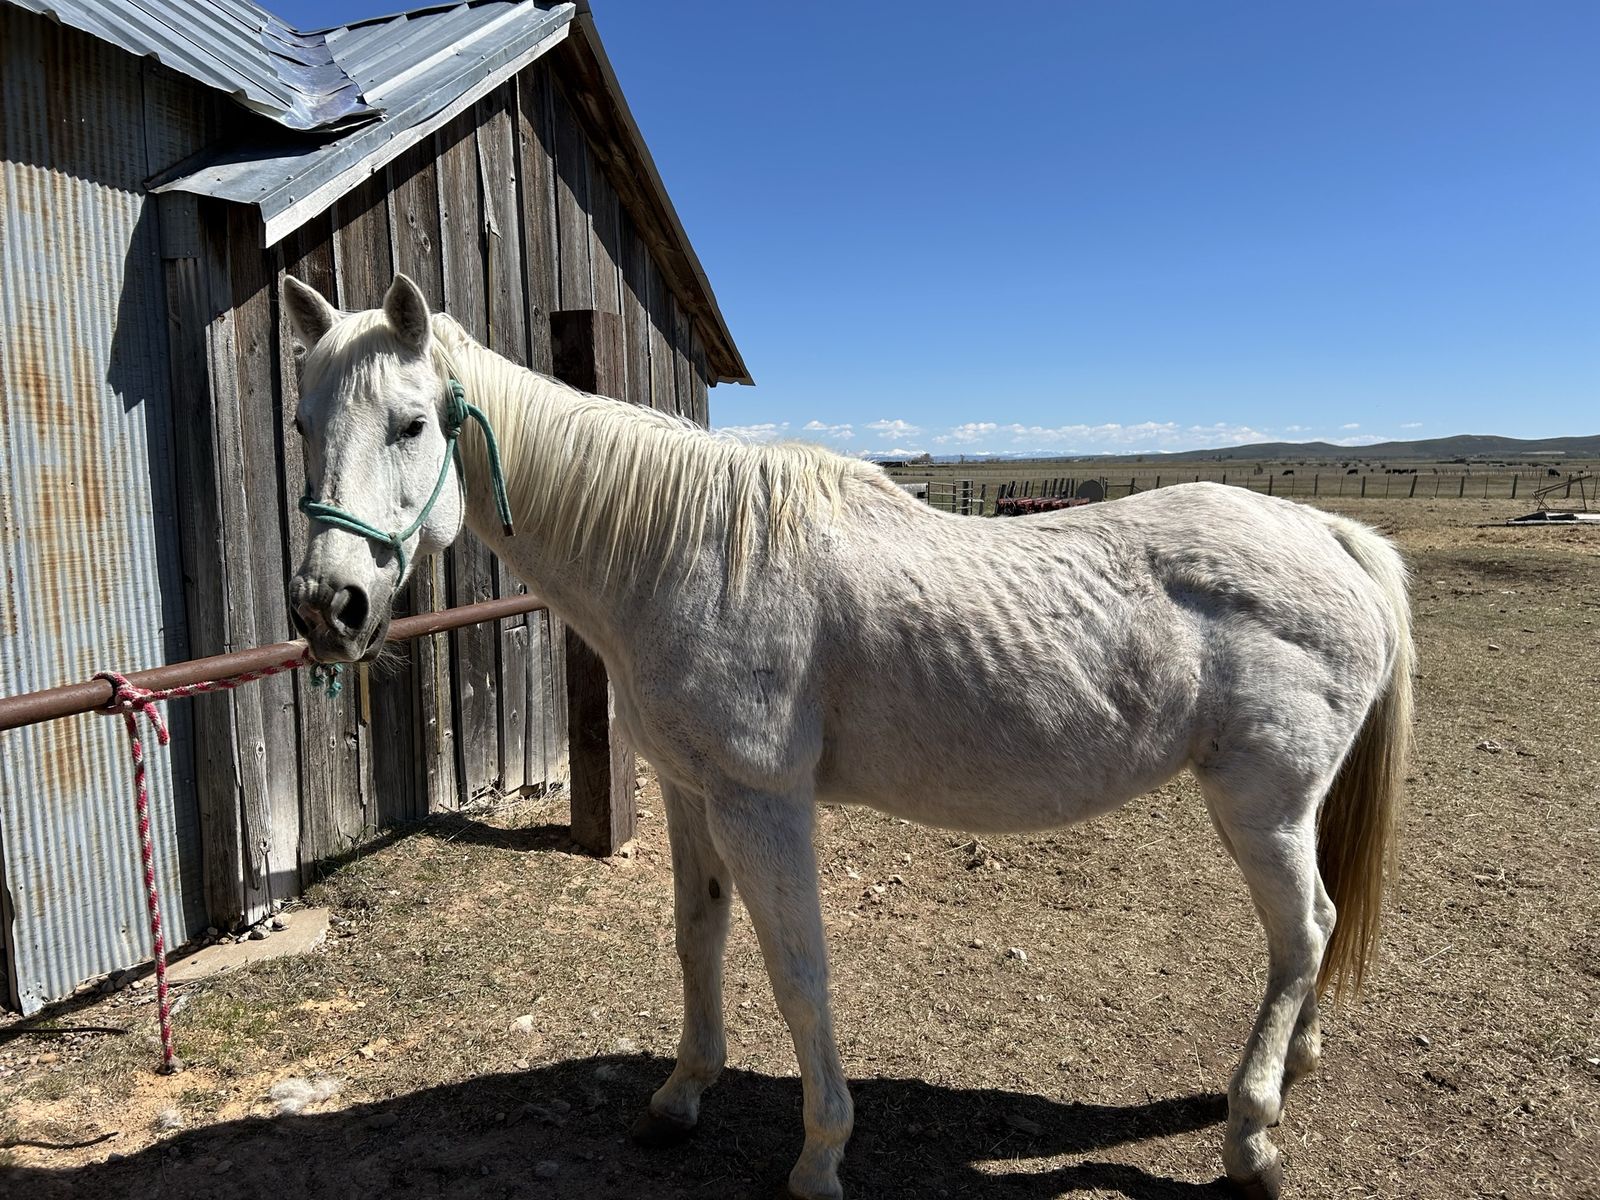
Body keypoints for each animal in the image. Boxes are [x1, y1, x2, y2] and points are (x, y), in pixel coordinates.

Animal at [280, 274, 1413, 1200]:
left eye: (411, 423)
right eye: (298, 421)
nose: (328, 607)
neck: (682, 554)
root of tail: (1329, 535)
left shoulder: (761, 804)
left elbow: (798, 971)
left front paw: (820, 1154)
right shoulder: (691, 793)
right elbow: (697, 939)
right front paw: (680, 1097)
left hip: (1262, 803)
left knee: (1303, 929)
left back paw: (1252, 1137)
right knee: (1310, 934)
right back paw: (1295, 1065)